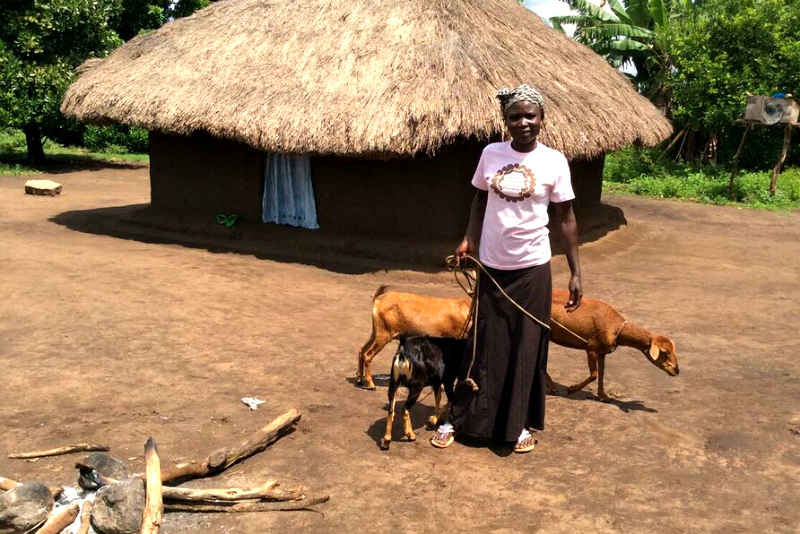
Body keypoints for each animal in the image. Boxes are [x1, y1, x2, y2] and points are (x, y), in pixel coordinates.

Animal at [354, 286, 676, 400]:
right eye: (665, 354)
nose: (677, 370)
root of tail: (379, 298)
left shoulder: (601, 351)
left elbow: (601, 375)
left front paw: (604, 396)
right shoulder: (593, 347)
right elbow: (595, 372)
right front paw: (573, 389)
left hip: (377, 330)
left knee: (360, 350)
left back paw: (360, 379)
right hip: (384, 333)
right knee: (367, 354)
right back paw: (368, 382)